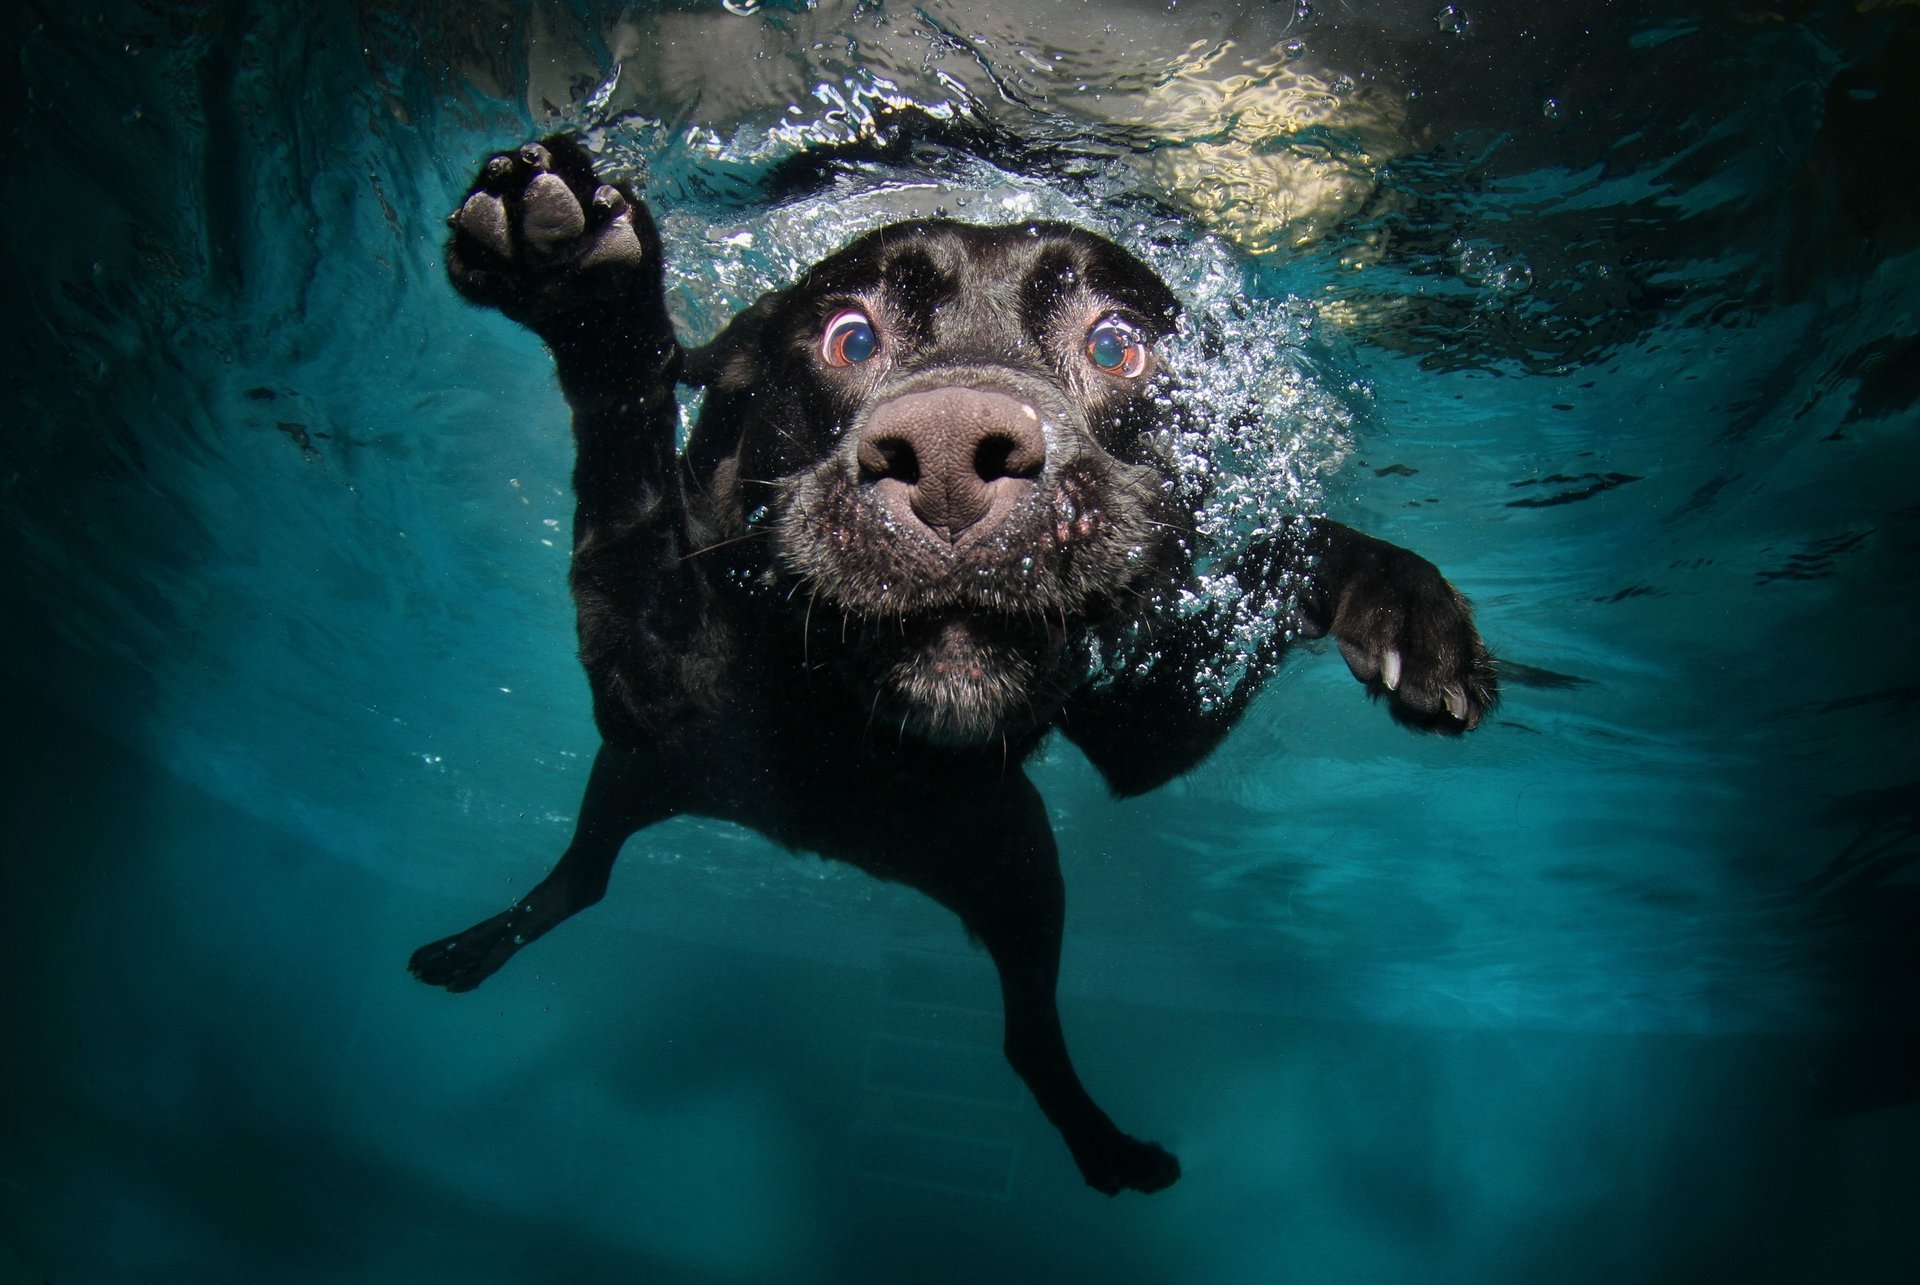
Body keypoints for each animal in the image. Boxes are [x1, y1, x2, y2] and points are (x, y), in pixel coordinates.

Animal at [408, 138, 1497, 1190]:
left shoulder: (1149, 725)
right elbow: (624, 481)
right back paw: (471, 948)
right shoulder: (650, 681)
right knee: (584, 878)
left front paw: (1405, 603)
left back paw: (1107, 1148)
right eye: (849, 338)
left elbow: (1286, 547)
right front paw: (584, 284)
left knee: (1026, 1036)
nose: (944, 455)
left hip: (1017, 867)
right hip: (640, 776)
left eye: (1116, 344)